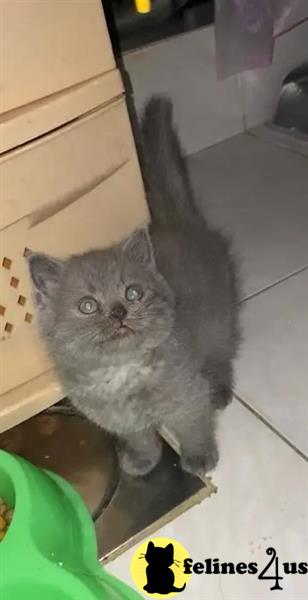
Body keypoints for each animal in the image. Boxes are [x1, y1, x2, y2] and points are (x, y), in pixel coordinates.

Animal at [27, 95, 241, 478]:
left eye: (133, 293)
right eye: (87, 305)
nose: (118, 312)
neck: (121, 373)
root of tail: (174, 220)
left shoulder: (187, 397)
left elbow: (194, 426)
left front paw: (199, 458)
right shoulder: (120, 421)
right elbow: (141, 440)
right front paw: (142, 461)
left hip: (219, 316)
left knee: (222, 350)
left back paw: (220, 388)